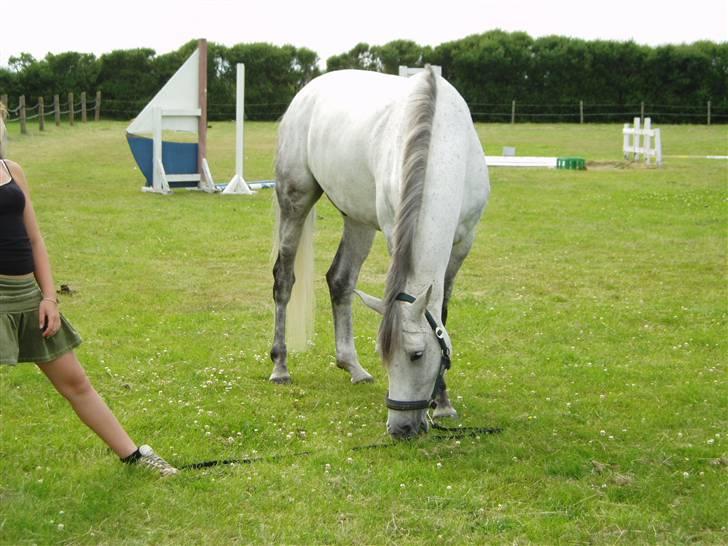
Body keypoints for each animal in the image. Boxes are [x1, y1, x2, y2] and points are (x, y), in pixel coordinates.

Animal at [268, 66, 490, 438]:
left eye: (416, 355)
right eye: (384, 354)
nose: (400, 429)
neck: (442, 142)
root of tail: (308, 91)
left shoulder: (462, 244)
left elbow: (442, 315)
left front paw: (443, 403)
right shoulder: (394, 233)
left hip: (357, 220)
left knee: (340, 280)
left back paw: (353, 367)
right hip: (295, 200)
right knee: (284, 279)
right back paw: (280, 366)